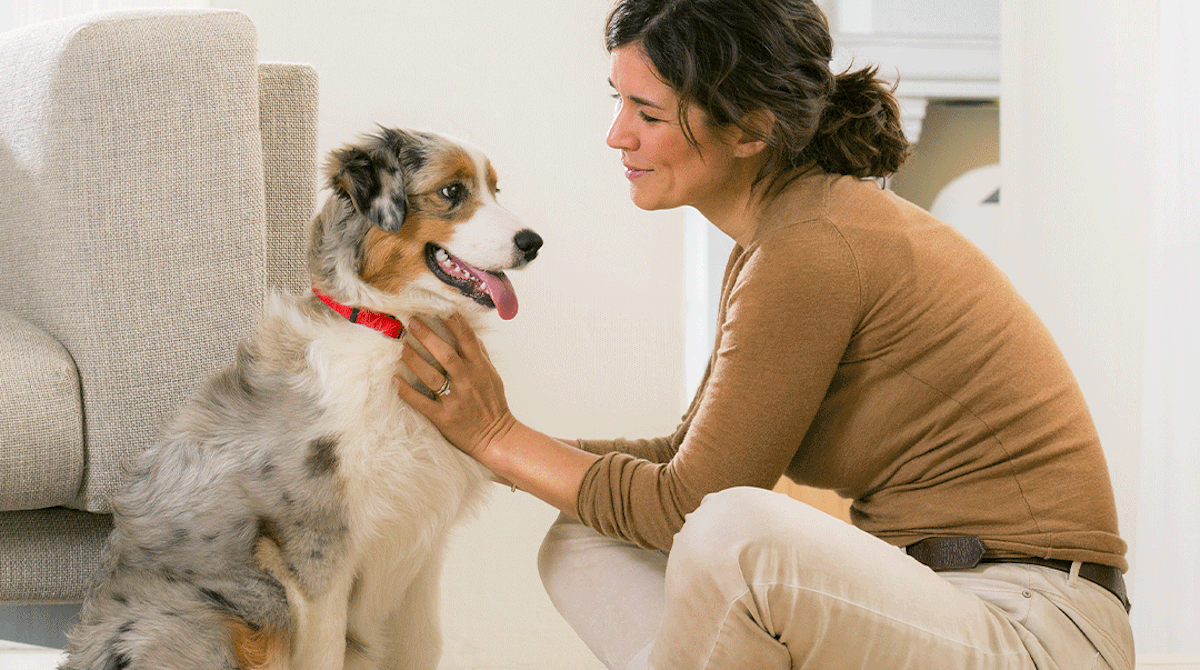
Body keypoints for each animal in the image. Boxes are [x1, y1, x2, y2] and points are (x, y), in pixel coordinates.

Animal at [60, 127, 540, 670]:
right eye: (453, 191)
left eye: (494, 190)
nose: (534, 243)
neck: (393, 331)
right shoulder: (317, 551)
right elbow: (326, 652)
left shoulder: (422, 544)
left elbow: (423, 647)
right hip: (246, 602)